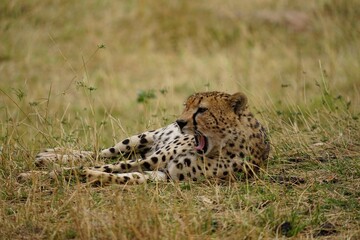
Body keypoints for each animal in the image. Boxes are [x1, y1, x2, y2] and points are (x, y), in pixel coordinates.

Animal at [18, 91, 268, 185]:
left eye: (202, 110)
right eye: (186, 106)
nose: (180, 122)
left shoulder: (165, 174)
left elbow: (122, 175)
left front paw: (89, 175)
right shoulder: (154, 160)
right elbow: (102, 165)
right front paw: (38, 174)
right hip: (140, 139)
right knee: (101, 153)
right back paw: (49, 156)